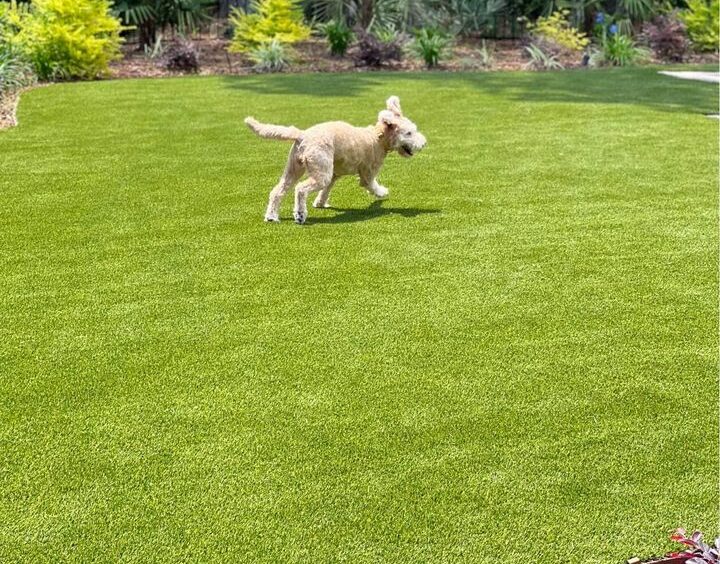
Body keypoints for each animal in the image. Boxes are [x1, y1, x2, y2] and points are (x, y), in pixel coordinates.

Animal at [245, 94, 424, 223]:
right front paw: (382, 193)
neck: (377, 137)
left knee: (278, 191)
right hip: (319, 173)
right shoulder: (367, 173)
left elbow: (326, 190)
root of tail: (302, 135)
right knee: (301, 189)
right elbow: (371, 185)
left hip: (295, 169)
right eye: (409, 133)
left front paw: (320, 203)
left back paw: (272, 216)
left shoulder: (334, 174)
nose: (423, 143)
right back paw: (300, 214)